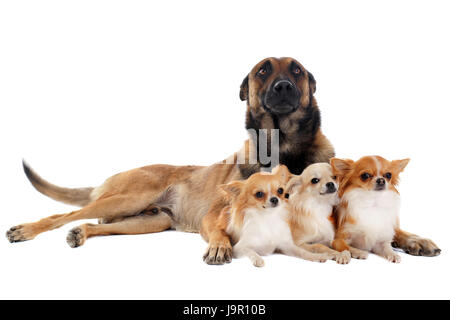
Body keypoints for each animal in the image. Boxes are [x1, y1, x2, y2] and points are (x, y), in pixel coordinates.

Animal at [6, 56, 440, 264]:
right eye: (263, 70)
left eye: (296, 70)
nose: (283, 86)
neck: (285, 147)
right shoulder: (218, 216)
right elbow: (219, 231)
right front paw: (219, 248)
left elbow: (393, 230)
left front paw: (414, 240)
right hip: (127, 197)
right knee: (61, 214)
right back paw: (26, 229)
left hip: (147, 220)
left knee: (97, 225)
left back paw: (80, 234)